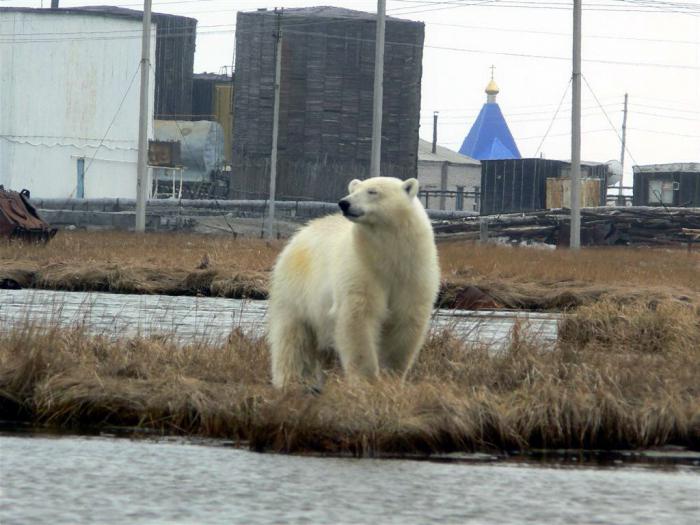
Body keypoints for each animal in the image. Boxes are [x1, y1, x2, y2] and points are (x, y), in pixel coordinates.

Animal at [266, 178, 438, 386]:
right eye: (353, 189)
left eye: (372, 191)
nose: (344, 203)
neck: (388, 255)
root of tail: (300, 233)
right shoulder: (360, 268)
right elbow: (358, 318)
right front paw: (366, 379)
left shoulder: (413, 273)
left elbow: (405, 320)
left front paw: (391, 377)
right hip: (295, 289)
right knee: (293, 338)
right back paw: (290, 380)